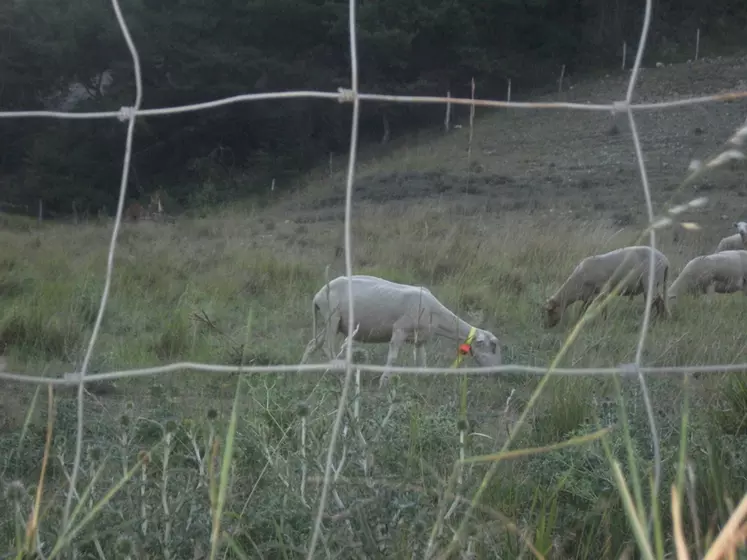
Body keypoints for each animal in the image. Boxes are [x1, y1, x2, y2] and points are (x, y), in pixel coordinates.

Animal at [298, 274, 502, 388]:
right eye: (492, 347)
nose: (498, 373)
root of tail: (318, 295)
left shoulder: (420, 340)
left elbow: (422, 361)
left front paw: (422, 380)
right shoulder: (399, 330)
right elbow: (393, 358)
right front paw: (384, 382)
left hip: (331, 321)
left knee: (313, 343)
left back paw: (301, 369)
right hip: (332, 317)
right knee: (328, 347)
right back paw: (338, 372)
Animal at [544, 246, 672, 328]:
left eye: (551, 311)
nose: (548, 326)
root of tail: (666, 261)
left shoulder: (602, 289)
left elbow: (600, 307)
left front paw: (601, 321)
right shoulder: (590, 295)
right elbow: (584, 308)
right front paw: (579, 320)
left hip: (649, 281)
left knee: (653, 301)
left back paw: (645, 320)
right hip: (655, 284)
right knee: (659, 301)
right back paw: (660, 319)